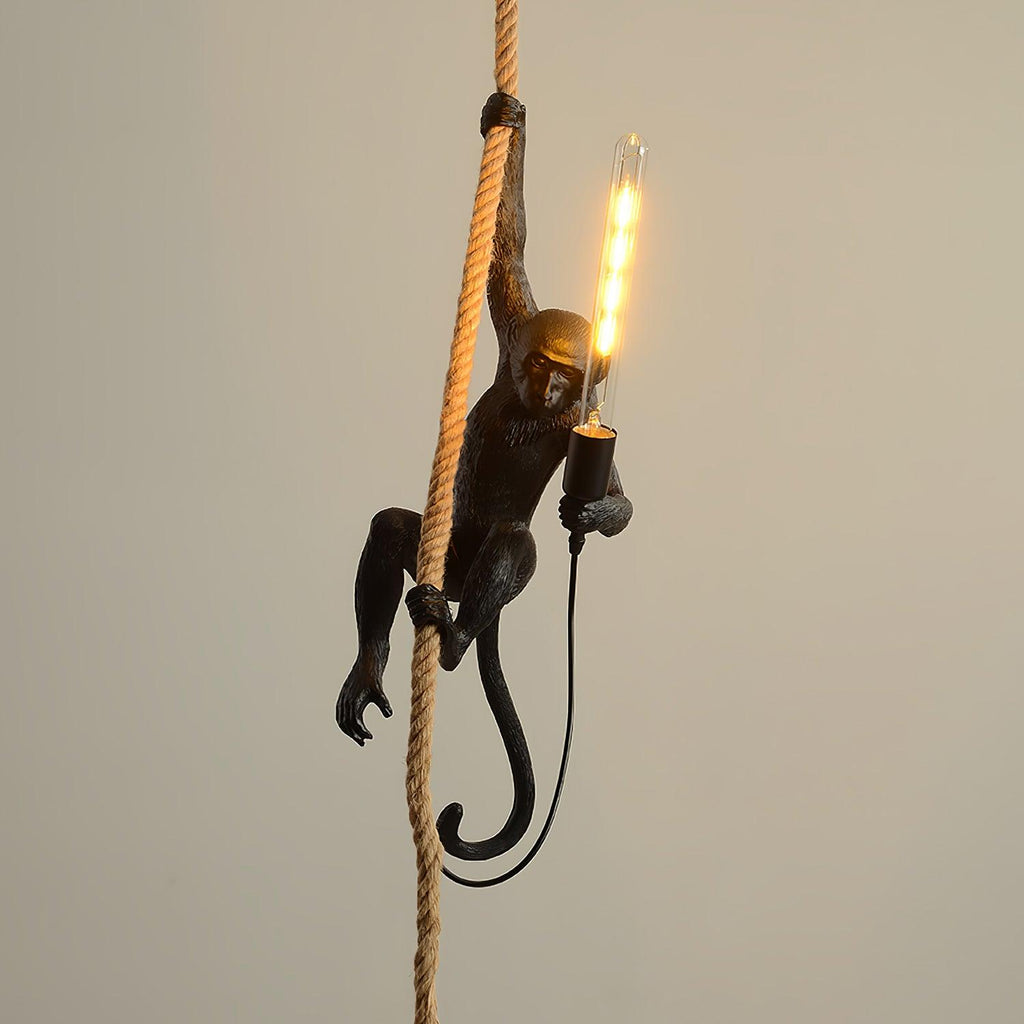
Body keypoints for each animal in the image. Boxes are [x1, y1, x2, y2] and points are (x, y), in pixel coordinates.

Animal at [336, 92, 633, 861]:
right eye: (541, 364)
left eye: (568, 377)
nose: (552, 389)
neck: (538, 409)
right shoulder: (513, 326)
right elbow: (507, 246)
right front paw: (508, 120)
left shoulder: (586, 420)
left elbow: (618, 497)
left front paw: (590, 515)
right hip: (442, 556)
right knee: (394, 530)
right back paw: (371, 665)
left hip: (475, 571)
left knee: (513, 545)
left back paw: (455, 639)